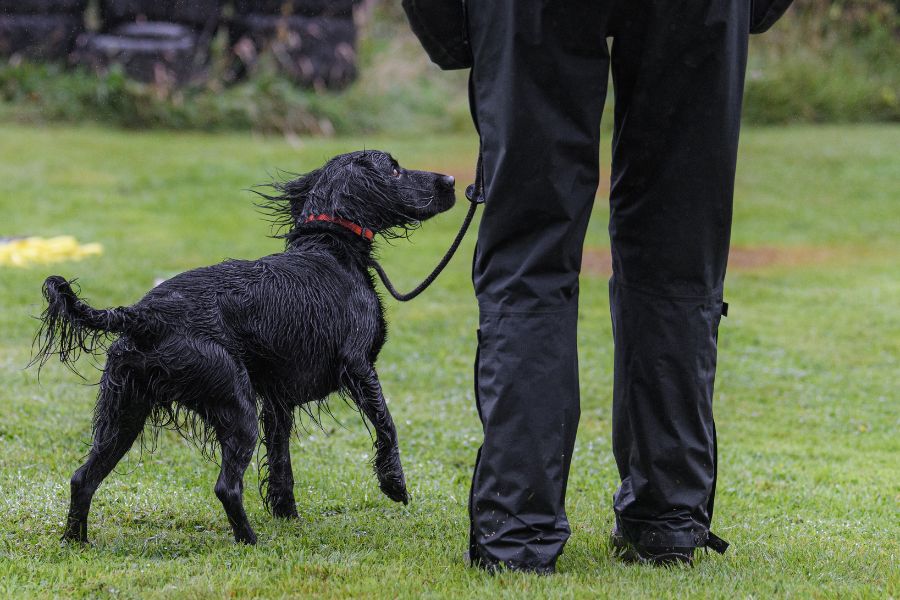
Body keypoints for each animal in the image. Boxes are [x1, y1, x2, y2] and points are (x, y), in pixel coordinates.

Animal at [34, 150, 458, 544]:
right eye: (395, 170)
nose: (453, 180)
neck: (328, 246)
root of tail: (143, 315)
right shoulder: (358, 368)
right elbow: (387, 425)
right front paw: (394, 484)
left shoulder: (277, 401)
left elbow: (281, 461)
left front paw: (287, 512)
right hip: (234, 405)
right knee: (226, 486)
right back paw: (249, 541)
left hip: (124, 412)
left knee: (82, 478)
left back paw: (75, 541)